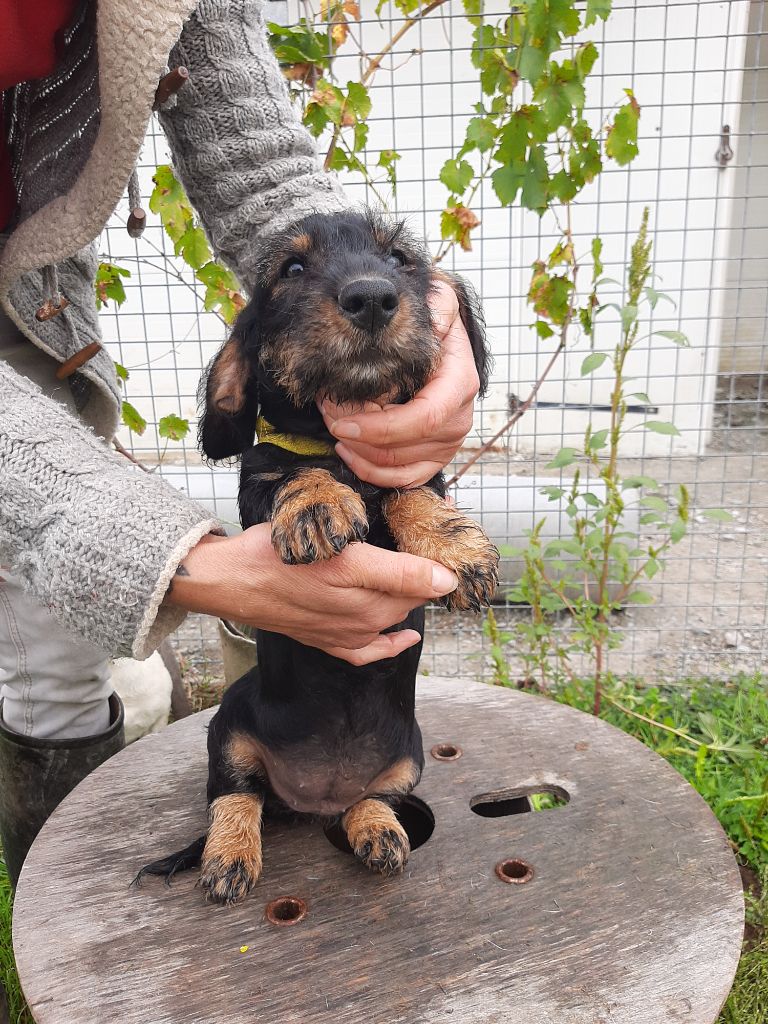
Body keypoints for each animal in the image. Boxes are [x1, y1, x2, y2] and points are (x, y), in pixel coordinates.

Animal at [137, 210, 499, 904]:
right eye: (293, 269)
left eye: (399, 259)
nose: (372, 298)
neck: (337, 438)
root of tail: (310, 799)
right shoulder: (257, 488)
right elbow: (291, 472)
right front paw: (315, 506)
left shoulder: (405, 470)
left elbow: (410, 490)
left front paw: (458, 547)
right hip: (228, 729)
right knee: (235, 797)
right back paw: (229, 856)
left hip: (408, 758)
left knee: (367, 800)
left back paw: (376, 831)